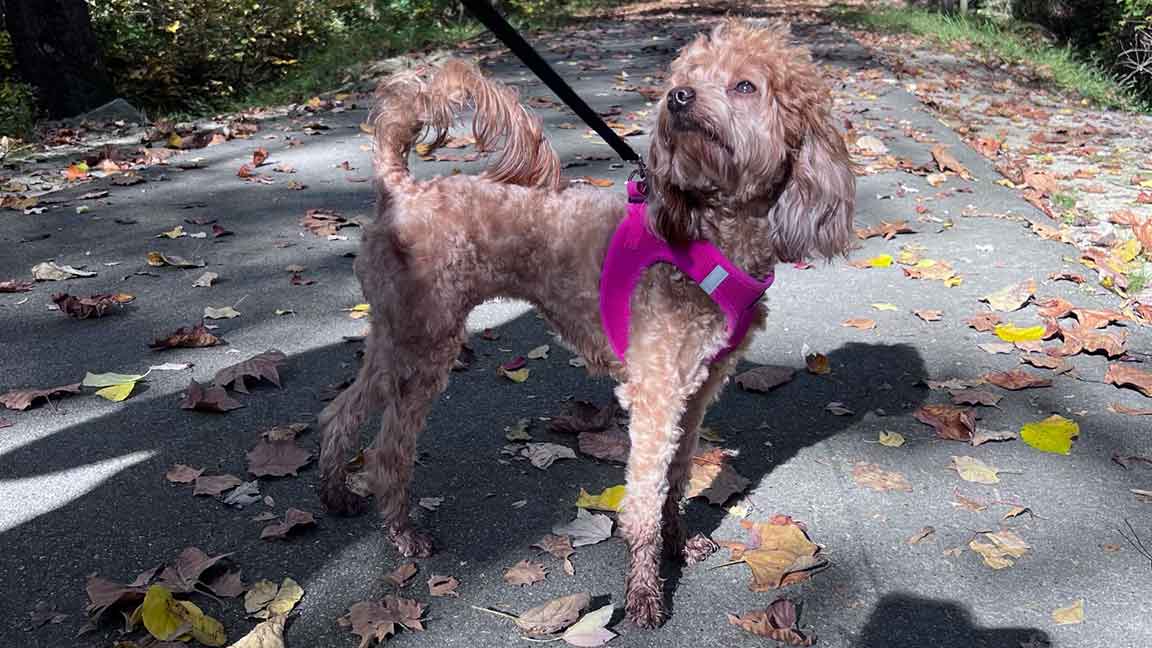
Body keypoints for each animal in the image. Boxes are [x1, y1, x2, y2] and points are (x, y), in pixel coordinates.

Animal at [320, 18, 852, 627]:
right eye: (688, 77)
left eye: (745, 86)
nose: (679, 98)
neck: (709, 233)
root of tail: (401, 187)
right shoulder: (655, 393)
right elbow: (644, 499)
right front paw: (644, 592)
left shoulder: (696, 391)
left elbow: (676, 478)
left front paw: (678, 543)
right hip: (423, 343)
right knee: (388, 448)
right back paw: (404, 533)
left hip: (393, 337)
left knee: (340, 410)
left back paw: (336, 494)